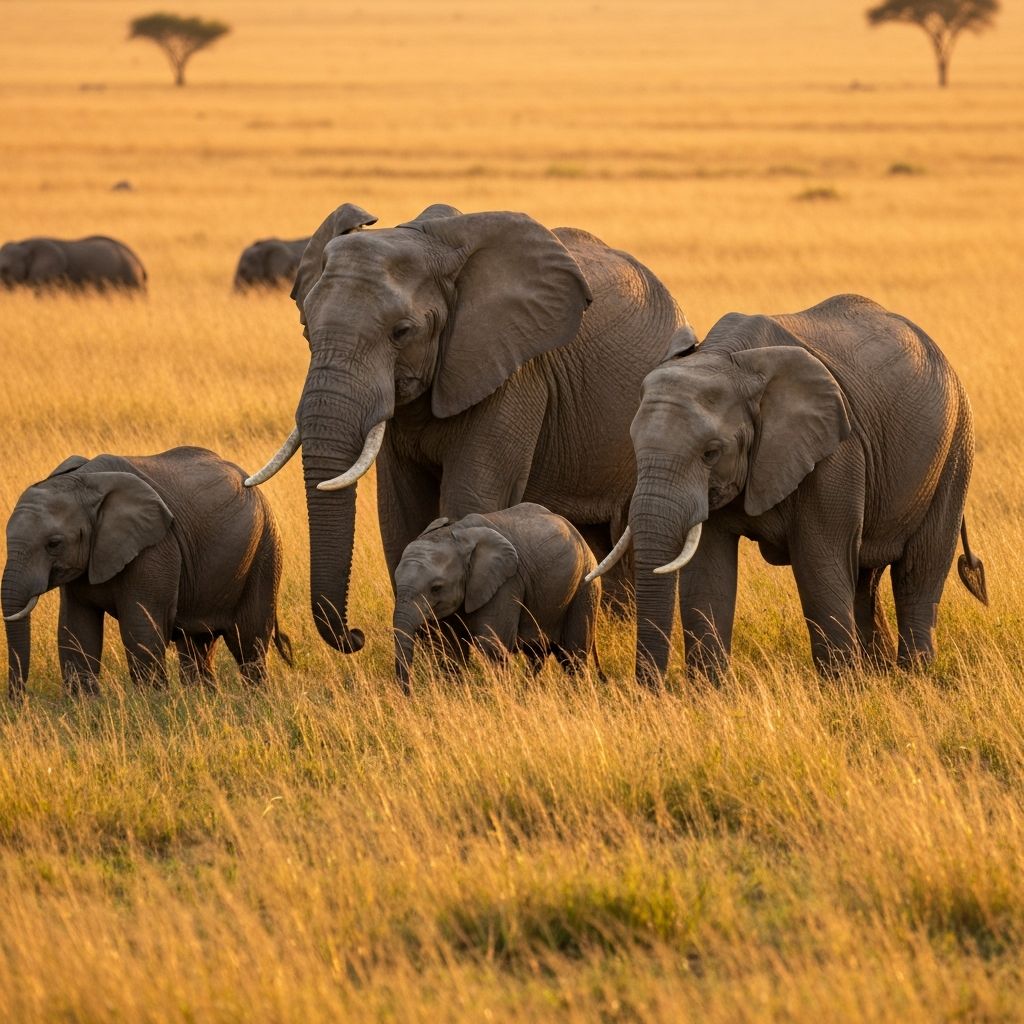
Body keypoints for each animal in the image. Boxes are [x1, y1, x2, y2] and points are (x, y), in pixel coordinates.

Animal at [2, 447, 291, 699]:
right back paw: (203, 699)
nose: (19, 701)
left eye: (54, 544)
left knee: (248, 640)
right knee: (196, 644)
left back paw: (255, 699)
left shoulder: (154, 548)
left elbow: (139, 628)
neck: (83, 481)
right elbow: (76, 629)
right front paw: (84, 706)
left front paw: (151, 704)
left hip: (265, 550)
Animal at [246, 202, 684, 656]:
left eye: (402, 332)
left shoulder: (513, 372)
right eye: (306, 330)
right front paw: (436, 661)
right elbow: (400, 511)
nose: (356, 636)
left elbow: (468, 496)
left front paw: (451, 662)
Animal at [393, 503, 602, 691]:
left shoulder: (506, 585)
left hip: (585, 588)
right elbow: (450, 646)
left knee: (573, 655)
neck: (454, 533)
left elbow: (492, 645)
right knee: (538, 652)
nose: (408, 695)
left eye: (436, 588)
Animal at [589, 293, 988, 686]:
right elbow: (707, 571)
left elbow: (818, 563)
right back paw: (881, 673)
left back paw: (914, 675)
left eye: (711, 453)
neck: (729, 361)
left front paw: (841, 688)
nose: (648, 689)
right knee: (865, 578)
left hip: (954, 449)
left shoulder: (835, 454)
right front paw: (710, 691)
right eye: (634, 445)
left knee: (917, 571)